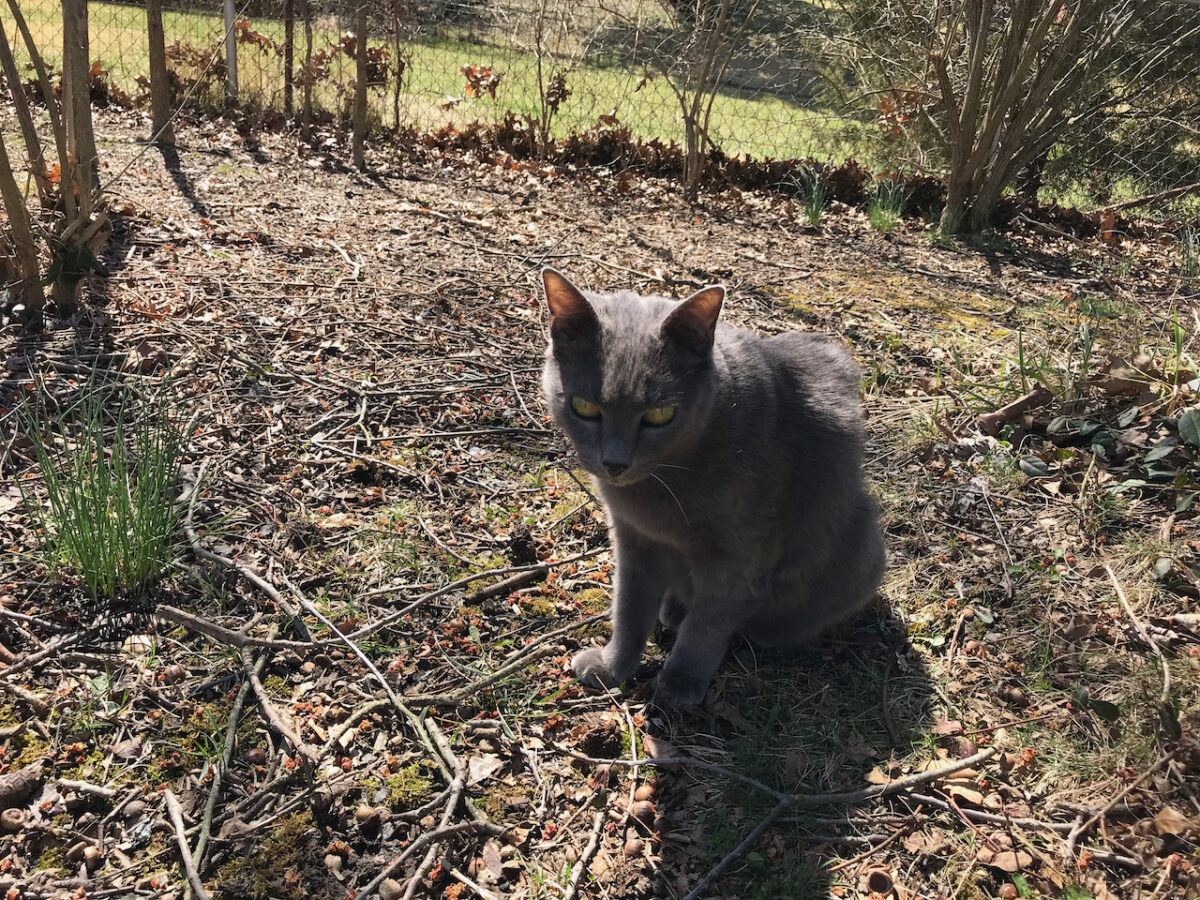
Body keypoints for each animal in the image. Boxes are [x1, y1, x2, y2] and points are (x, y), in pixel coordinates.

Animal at [540, 271, 888, 710]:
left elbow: (710, 620)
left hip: (860, 547)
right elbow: (629, 605)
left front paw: (679, 682)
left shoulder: (740, 551)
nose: (615, 463)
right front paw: (612, 668)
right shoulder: (632, 538)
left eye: (659, 415)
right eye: (584, 407)